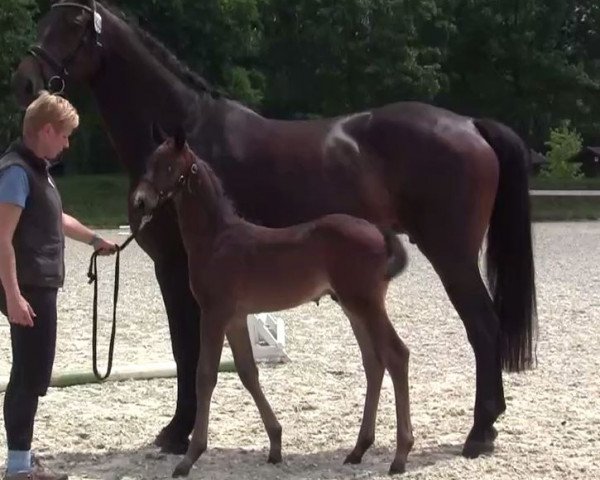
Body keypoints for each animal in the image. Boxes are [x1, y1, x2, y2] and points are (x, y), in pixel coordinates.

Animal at [132, 128, 412, 476]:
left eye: (168, 166)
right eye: (149, 162)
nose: (140, 201)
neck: (216, 238)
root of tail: (378, 233)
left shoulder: (213, 313)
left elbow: (205, 375)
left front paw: (189, 458)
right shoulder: (235, 318)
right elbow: (248, 373)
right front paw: (276, 445)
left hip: (366, 305)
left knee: (397, 355)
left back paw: (400, 455)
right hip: (353, 308)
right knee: (374, 363)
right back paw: (358, 449)